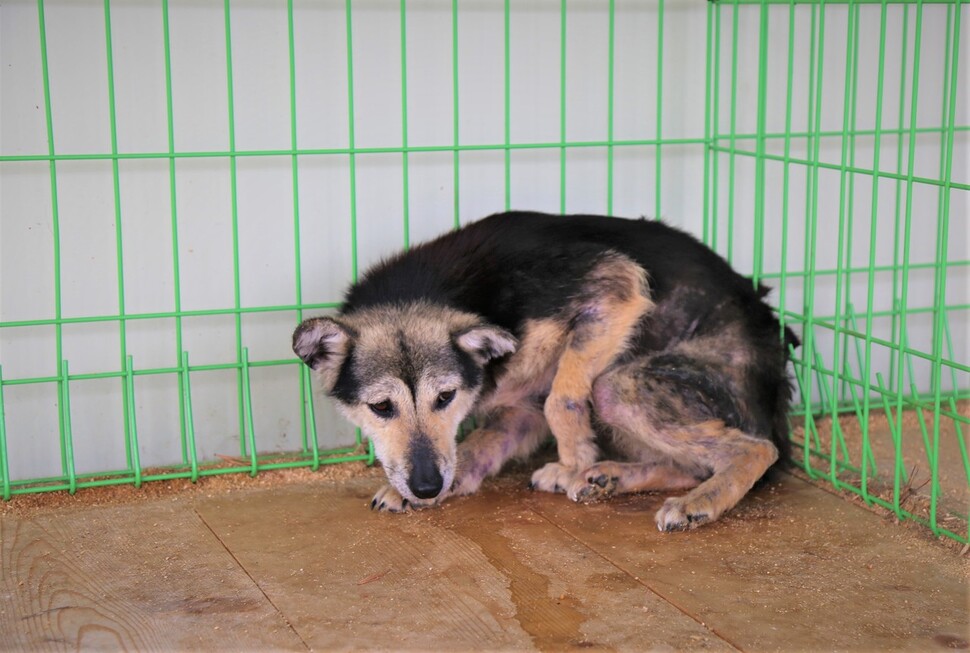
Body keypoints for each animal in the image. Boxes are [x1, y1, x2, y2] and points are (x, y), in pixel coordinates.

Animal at [294, 211, 796, 528]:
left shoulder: (615, 286)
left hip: (623, 384)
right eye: (381, 407)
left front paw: (574, 463)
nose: (426, 487)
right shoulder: (518, 411)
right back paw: (613, 477)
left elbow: (563, 398)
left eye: (445, 397)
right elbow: (473, 448)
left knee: (755, 450)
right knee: (695, 463)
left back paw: (699, 502)